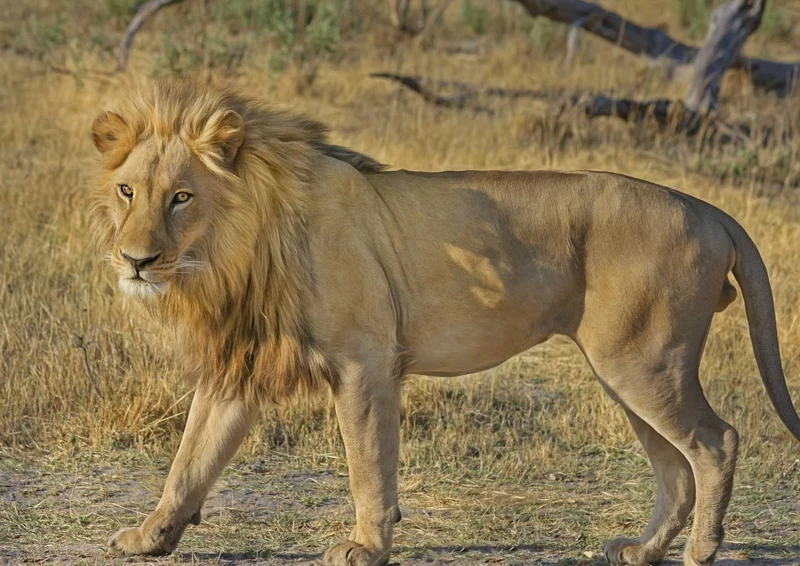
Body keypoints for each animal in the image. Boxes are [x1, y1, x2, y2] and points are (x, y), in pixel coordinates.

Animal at [90, 80, 800, 566]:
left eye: (182, 197)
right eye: (129, 191)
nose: (135, 259)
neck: (234, 252)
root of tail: (709, 209)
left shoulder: (365, 360)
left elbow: (369, 464)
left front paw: (366, 546)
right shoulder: (239, 367)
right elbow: (190, 461)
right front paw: (149, 537)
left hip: (642, 362)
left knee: (716, 441)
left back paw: (702, 551)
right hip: (625, 370)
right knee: (675, 469)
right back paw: (643, 551)